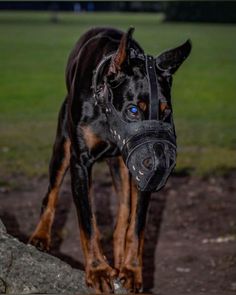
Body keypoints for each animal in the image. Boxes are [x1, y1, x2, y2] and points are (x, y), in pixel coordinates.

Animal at [29, 27, 192, 294]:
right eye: (133, 110)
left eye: (166, 111)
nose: (163, 163)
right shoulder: (80, 162)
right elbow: (88, 222)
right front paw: (97, 270)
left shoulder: (140, 166)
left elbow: (137, 225)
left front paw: (132, 271)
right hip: (63, 143)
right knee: (51, 193)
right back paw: (41, 236)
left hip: (122, 166)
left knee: (123, 215)